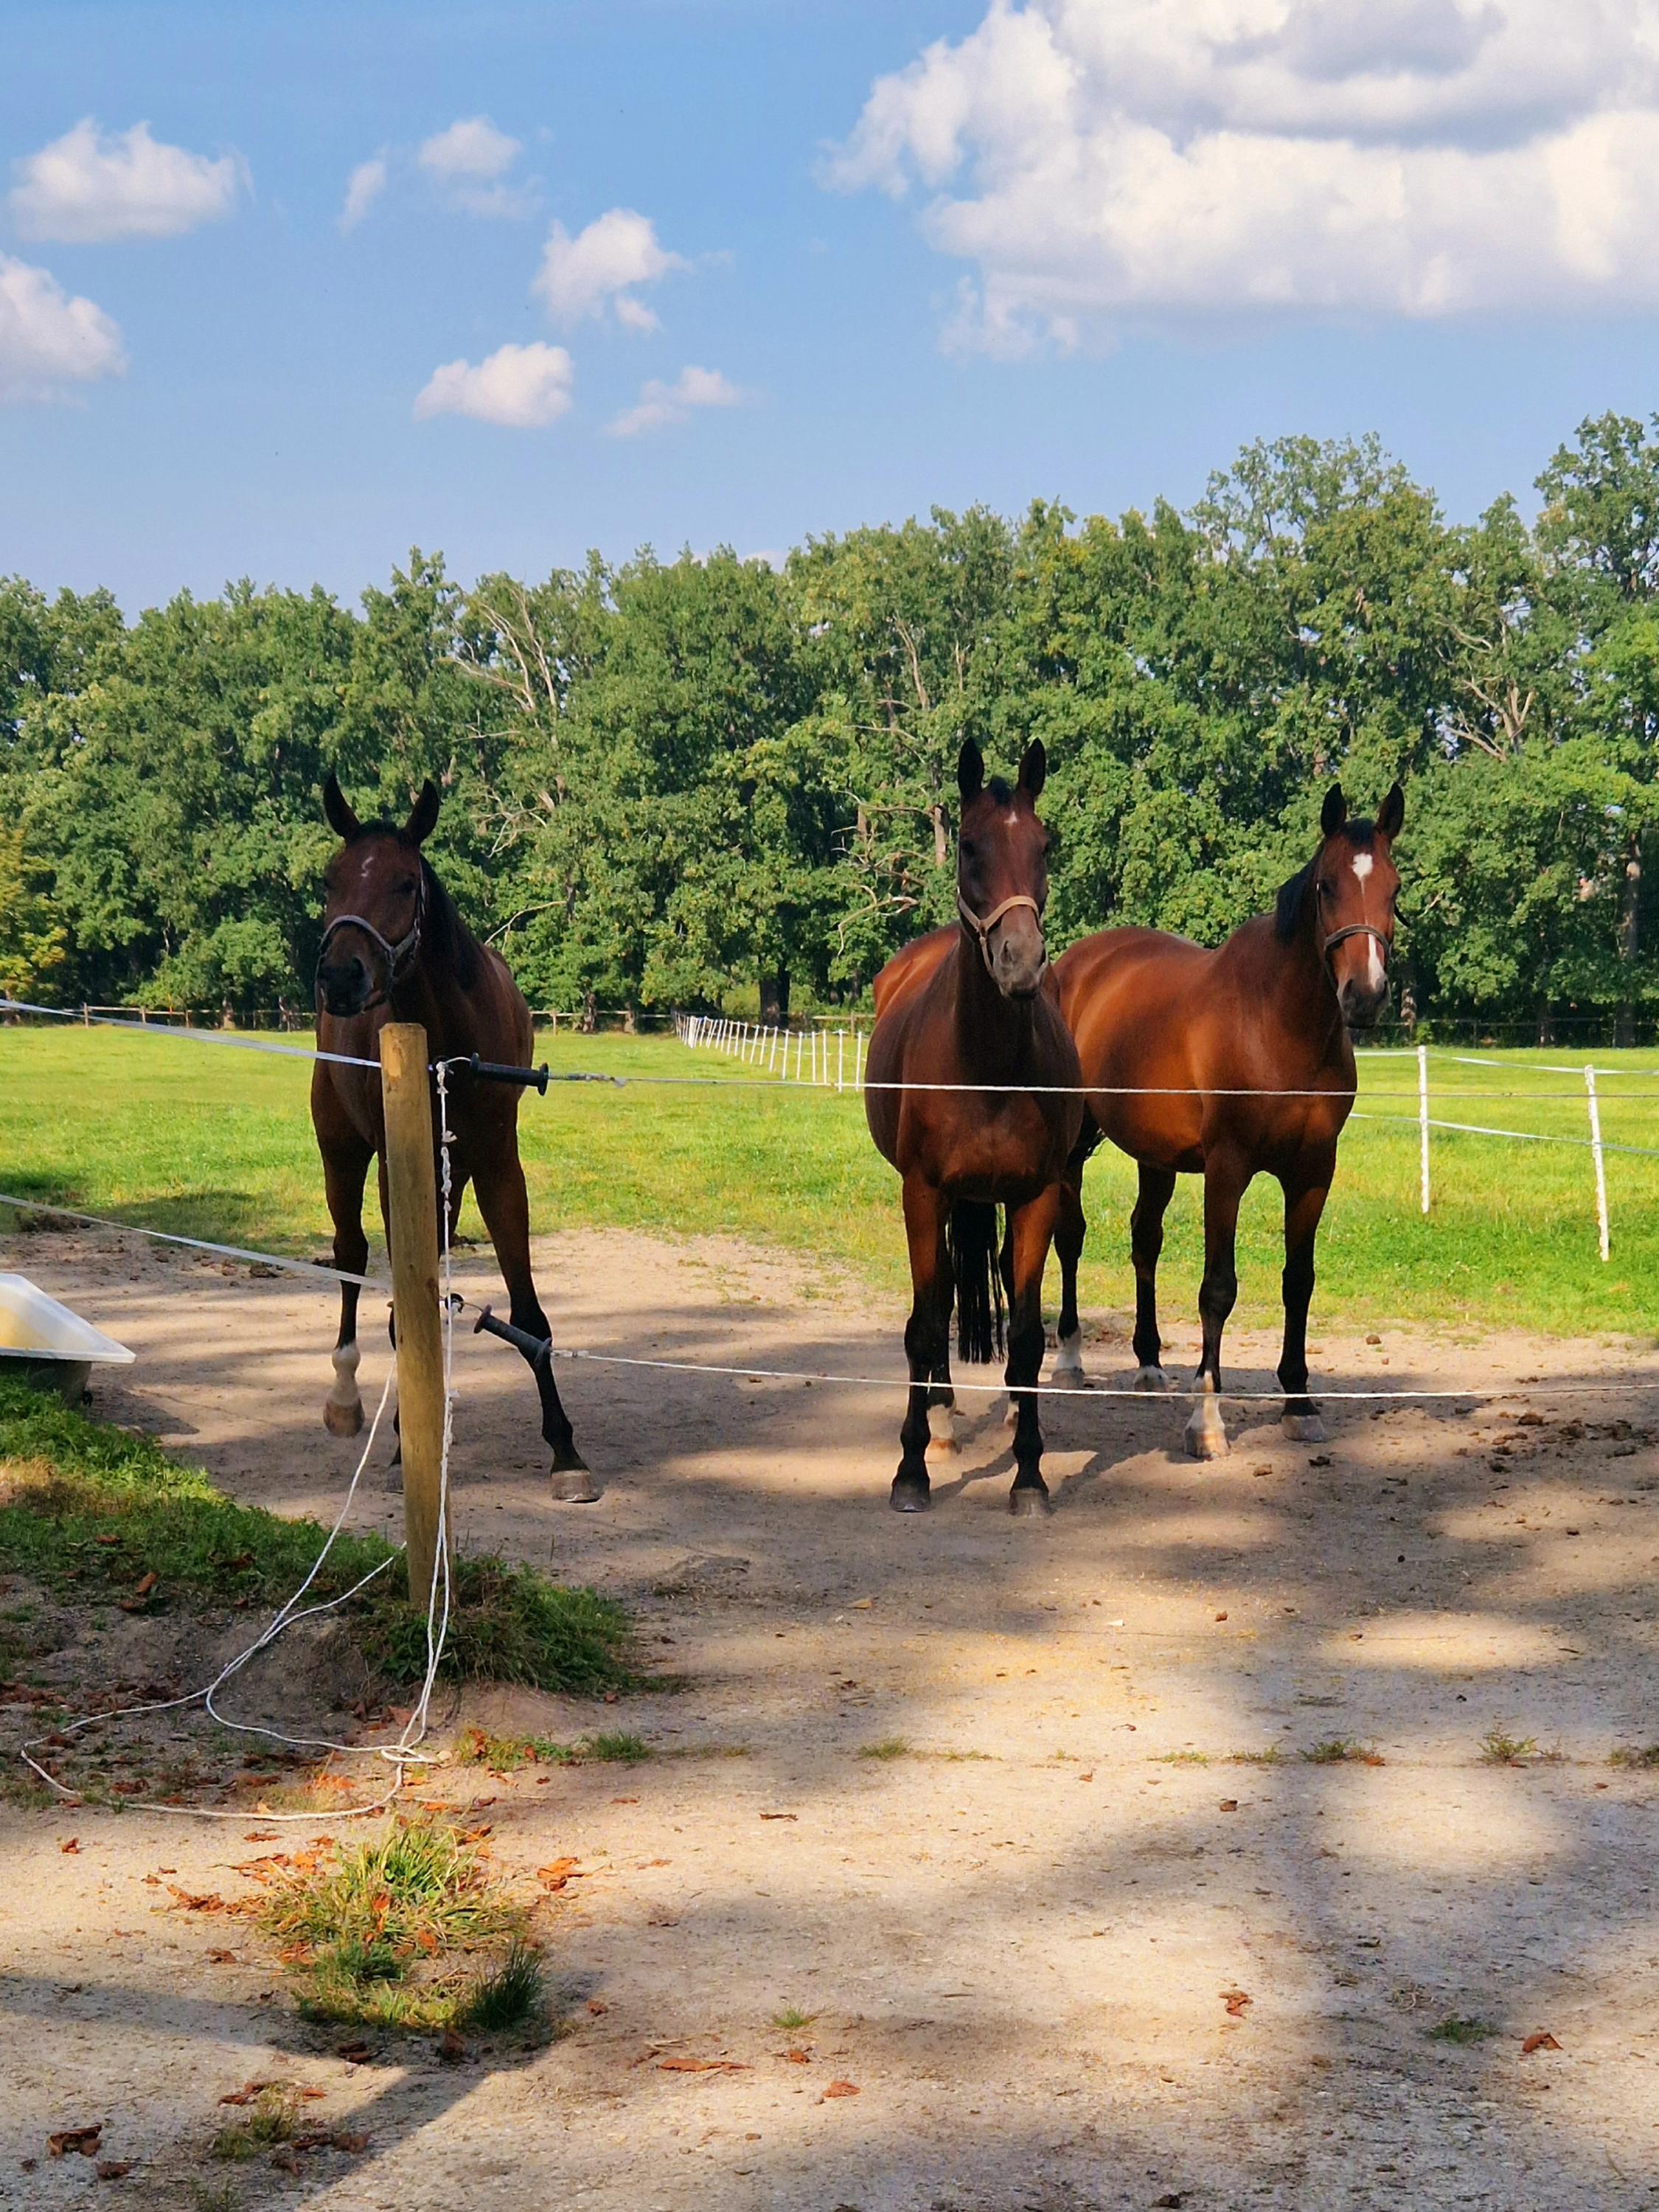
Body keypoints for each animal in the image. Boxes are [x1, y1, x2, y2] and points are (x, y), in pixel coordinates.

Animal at [310, 773, 596, 1500]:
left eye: (404, 882)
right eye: (330, 879)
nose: (340, 976)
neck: (449, 1041)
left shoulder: (498, 1166)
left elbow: (530, 1317)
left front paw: (565, 1449)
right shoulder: (394, 1166)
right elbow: (398, 1306)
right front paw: (402, 1441)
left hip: (453, 1175)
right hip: (340, 1151)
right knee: (351, 1256)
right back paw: (350, 1398)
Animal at [865, 739, 1084, 1516]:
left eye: (1044, 844)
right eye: (969, 846)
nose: (1020, 962)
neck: (987, 1066)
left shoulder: (1035, 1197)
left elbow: (1024, 1335)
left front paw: (1030, 1475)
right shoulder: (923, 1193)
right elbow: (927, 1325)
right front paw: (910, 1471)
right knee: (931, 1316)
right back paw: (939, 1419)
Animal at [1048, 782, 1403, 1460]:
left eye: (1395, 888)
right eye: (1327, 887)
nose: (1365, 995)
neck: (1276, 1022)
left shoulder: (1313, 1171)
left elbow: (1299, 1281)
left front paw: (1300, 1402)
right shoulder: (1228, 1167)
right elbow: (1218, 1287)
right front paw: (1206, 1422)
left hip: (1154, 1156)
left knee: (1144, 1239)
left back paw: (1149, 1363)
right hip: (1074, 1143)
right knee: (1069, 1235)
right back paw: (1071, 1358)